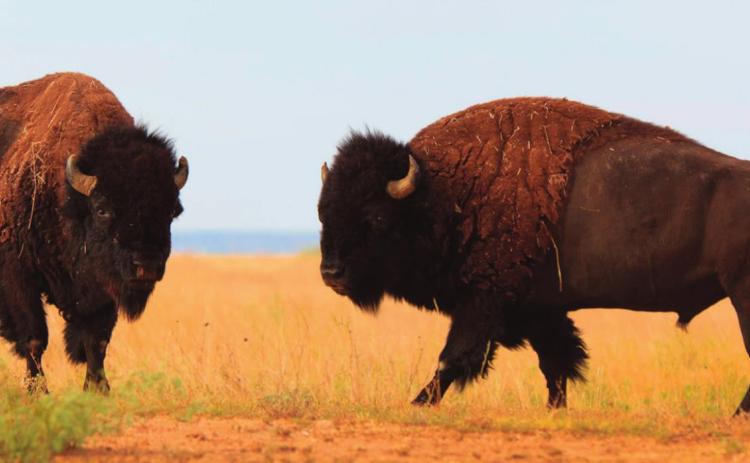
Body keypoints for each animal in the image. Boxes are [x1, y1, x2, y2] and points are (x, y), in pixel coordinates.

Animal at [0, 73, 188, 392]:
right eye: (103, 209)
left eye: (172, 211)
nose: (147, 266)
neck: (66, 195)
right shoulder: (18, 277)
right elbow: (35, 339)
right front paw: (39, 392)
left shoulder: (102, 289)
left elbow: (96, 341)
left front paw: (98, 389)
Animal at [318, 97, 750, 415]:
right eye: (324, 211)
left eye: (375, 216)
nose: (331, 272)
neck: (445, 194)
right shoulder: (538, 309)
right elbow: (556, 363)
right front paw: (555, 409)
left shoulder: (482, 304)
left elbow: (453, 358)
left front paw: (417, 402)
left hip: (741, 294)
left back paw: (736, 415)